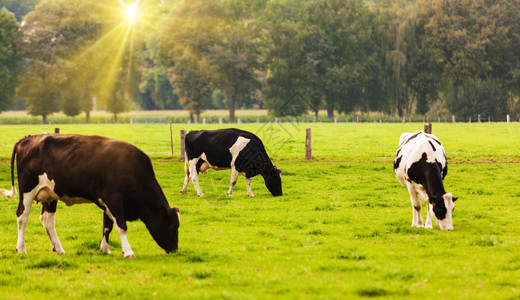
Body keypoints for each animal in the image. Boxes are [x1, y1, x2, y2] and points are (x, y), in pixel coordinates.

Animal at [0, 134, 180, 258]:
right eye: (173, 226)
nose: (175, 250)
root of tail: (29, 138)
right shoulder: (113, 199)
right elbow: (121, 226)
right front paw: (128, 251)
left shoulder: (107, 202)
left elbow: (107, 226)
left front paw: (105, 249)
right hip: (27, 191)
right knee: (22, 217)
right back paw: (21, 249)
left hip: (50, 195)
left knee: (47, 221)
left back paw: (59, 249)